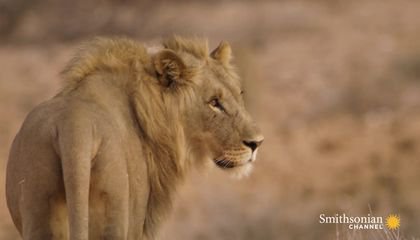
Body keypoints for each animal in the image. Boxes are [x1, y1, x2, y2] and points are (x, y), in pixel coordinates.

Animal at [5, 36, 262, 240]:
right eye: (214, 102)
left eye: (239, 93)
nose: (256, 143)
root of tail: (73, 125)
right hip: (115, 213)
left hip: (38, 207)